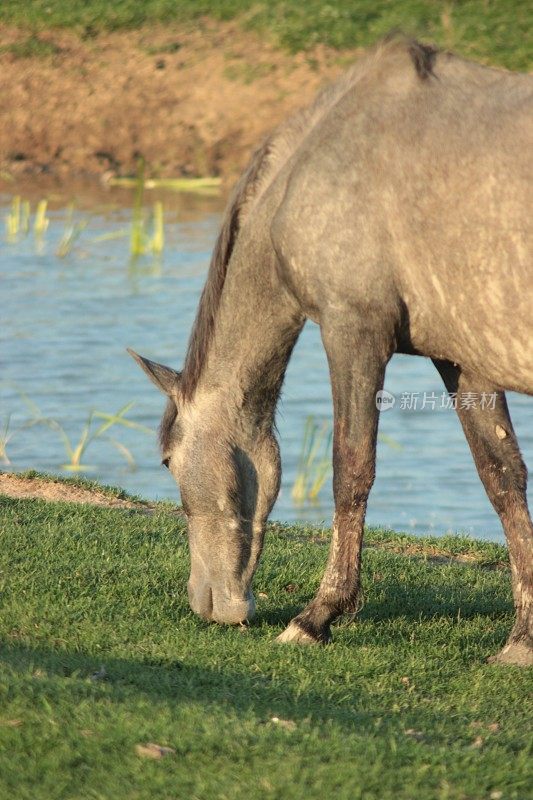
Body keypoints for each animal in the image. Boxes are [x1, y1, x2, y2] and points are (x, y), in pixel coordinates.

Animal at [129, 36, 532, 664]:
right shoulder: (463, 361)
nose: (206, 602)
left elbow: (351, 467)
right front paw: (523, 638)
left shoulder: (352, 330)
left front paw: (318, 615)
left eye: (168, 461)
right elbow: (503, 476)